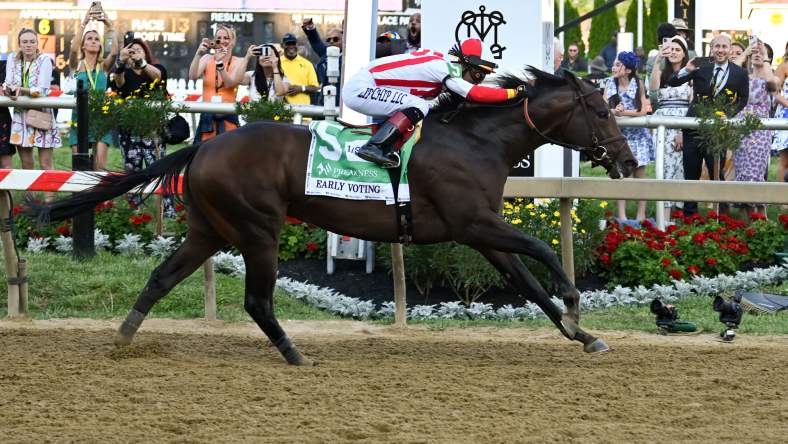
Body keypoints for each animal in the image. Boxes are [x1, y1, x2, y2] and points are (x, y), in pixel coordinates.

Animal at [32, 68, 636, 364]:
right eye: (603, 111)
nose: (628, 162)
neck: (476, 142)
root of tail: (204, 146)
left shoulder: (480, 232)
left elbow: (530, 285)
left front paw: (584, 336)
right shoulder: (473, 223)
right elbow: (541, 251)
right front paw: (577, 303)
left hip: (211, 229)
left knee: (161, 277)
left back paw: (123, 338)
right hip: (258, 228)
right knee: (257, 300)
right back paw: (294, 354)